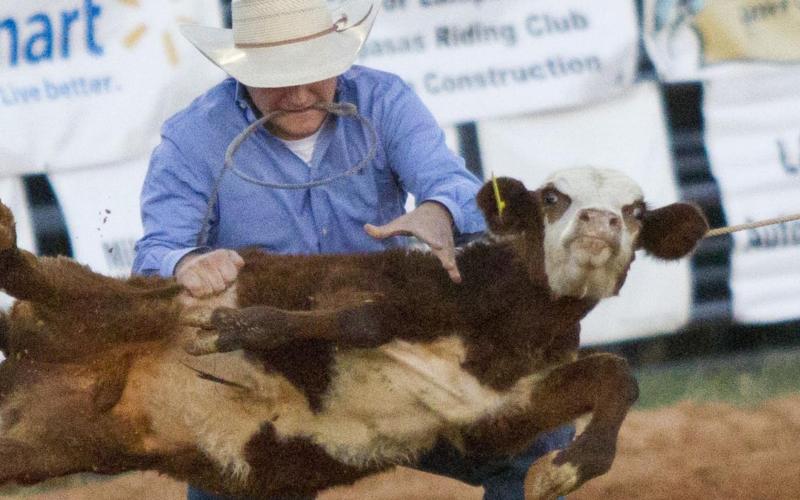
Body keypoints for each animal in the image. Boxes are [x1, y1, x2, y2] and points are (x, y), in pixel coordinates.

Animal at [0, 167, 708, 499]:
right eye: (554, 197)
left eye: (636, 211)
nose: (600, 222)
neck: (499, 322)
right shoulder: (361, 282)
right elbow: (365, 317)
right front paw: (233, 327)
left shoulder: (493, 417)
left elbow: (615, 376)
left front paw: (563, 470)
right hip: (111, 305)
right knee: (41, 276)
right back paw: (9, 237)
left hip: (42, 445)